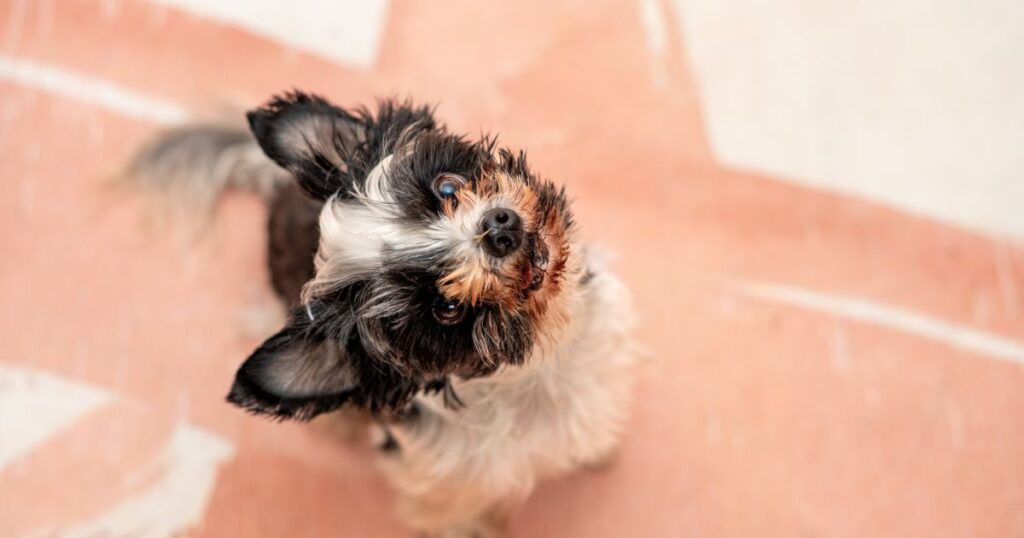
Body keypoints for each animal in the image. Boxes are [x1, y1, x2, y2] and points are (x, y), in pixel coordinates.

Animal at [125, 91, 638, 532]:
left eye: (447, 187)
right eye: (446, 308)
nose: (499, 228)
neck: (536, 370)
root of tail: (277, 190)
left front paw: (597, 453)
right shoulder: (443, 479)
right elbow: (456, 515)